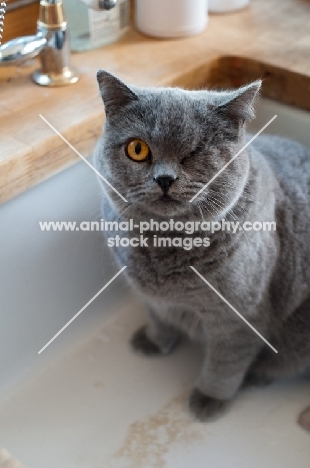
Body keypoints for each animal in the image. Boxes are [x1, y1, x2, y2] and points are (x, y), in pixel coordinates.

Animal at [94, 70, 310, 428]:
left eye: (195, 152)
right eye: (137, 149)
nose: (164, 178)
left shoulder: (239, 317)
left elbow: (225, 364)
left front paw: (209, 399)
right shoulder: (148, 296)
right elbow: (159, 318)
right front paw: (154, 341)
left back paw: (257, 374)